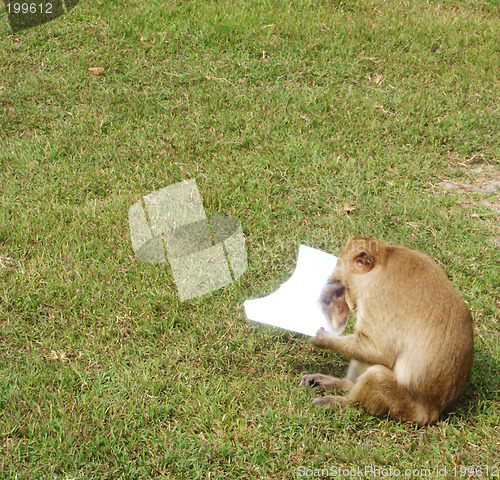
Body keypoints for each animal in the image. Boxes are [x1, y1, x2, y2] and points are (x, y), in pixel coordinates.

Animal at [298, 234, 474, 426]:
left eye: (338, 282)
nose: (344, 305)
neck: (384, 258)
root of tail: (433, 412)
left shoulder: (378, 296)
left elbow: (379, 351)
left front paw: (322, 338)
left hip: (404, 407)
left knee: (377, 375)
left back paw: (346, 403)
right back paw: (344, 384)